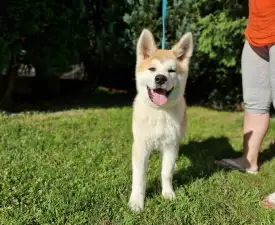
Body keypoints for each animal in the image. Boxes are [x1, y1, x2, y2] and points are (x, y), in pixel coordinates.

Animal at [129, 29, 194, 212]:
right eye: (152, 69)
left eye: (171, 71)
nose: (160, 78)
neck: (159, 112)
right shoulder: (141, 146)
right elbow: (139, 178)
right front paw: (136, 202)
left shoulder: (171, 145)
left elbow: (166, 173)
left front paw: (168, 194)